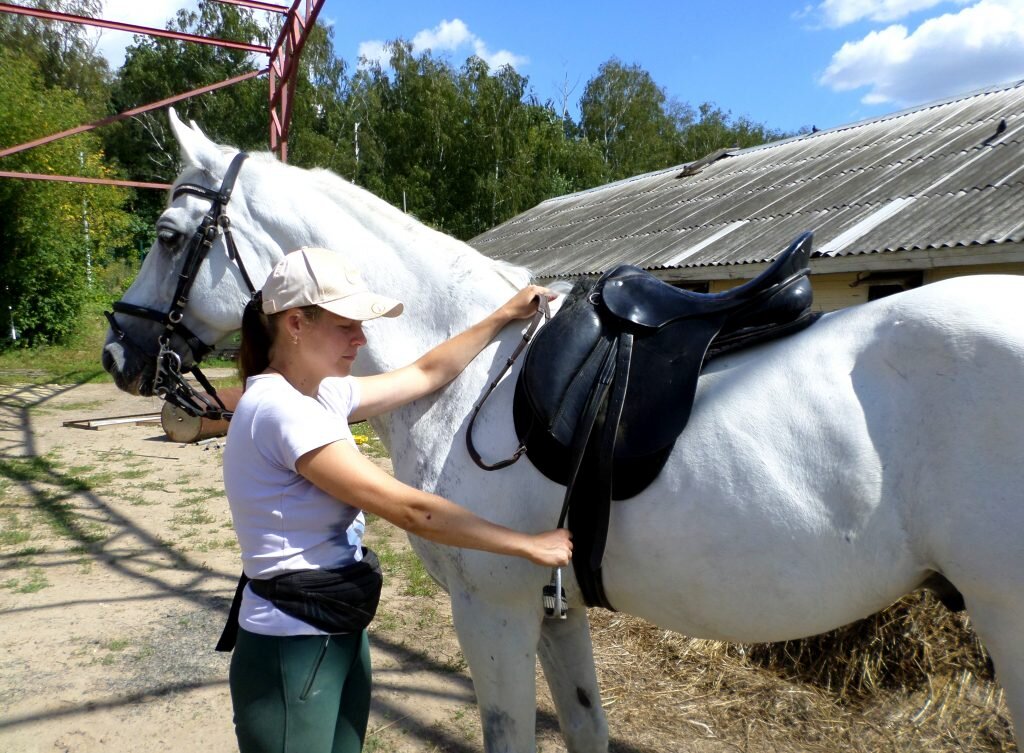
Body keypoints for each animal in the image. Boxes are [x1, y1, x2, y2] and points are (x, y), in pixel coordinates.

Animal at [103, 109, 1024, 749]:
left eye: (169, 235)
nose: (119, 349)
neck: (473, 372)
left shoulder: (494, 609)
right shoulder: (555, 607)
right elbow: (585, 724)